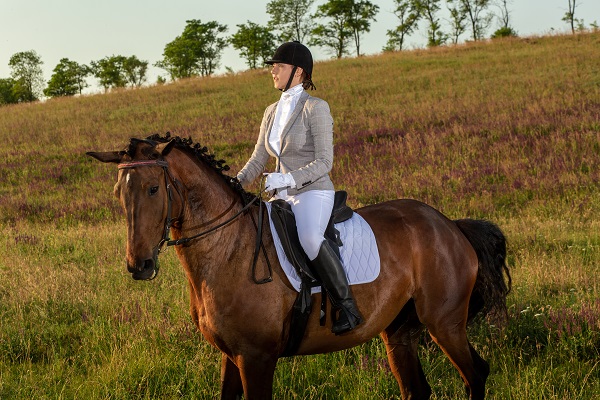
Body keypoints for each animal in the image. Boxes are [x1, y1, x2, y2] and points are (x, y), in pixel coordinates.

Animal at [88, 134, 510, 400]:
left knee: (476, 374)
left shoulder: (256, 359)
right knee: (417, 390)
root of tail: (448, 224)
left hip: (445, 324)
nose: (139, 265)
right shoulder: (231, 356)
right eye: (119, 192)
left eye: (153, 188)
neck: (228, 251)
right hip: (399, 333)